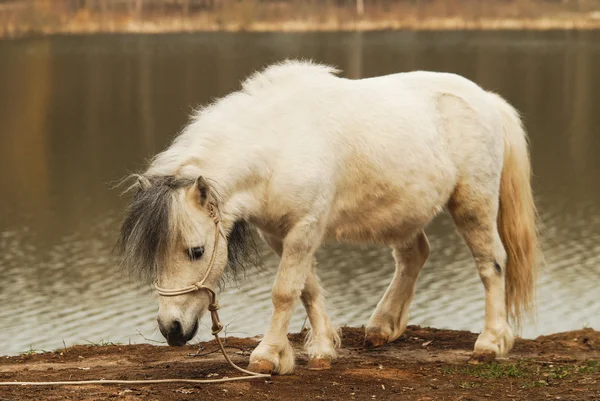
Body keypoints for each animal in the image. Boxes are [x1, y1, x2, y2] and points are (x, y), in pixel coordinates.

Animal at [117, 60, 540, 376]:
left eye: (196, 251)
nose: (171, 329)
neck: (280, 145)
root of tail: (487, 100)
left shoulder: (304, 227)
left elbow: (285, 291)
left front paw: (268, 356)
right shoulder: (280, 233)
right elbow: (307, 288)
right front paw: (322, 351)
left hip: (473, 204)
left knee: (492, 263)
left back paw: (490, 343)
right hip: (403, 213)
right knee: (414, 256)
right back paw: (382, 328)